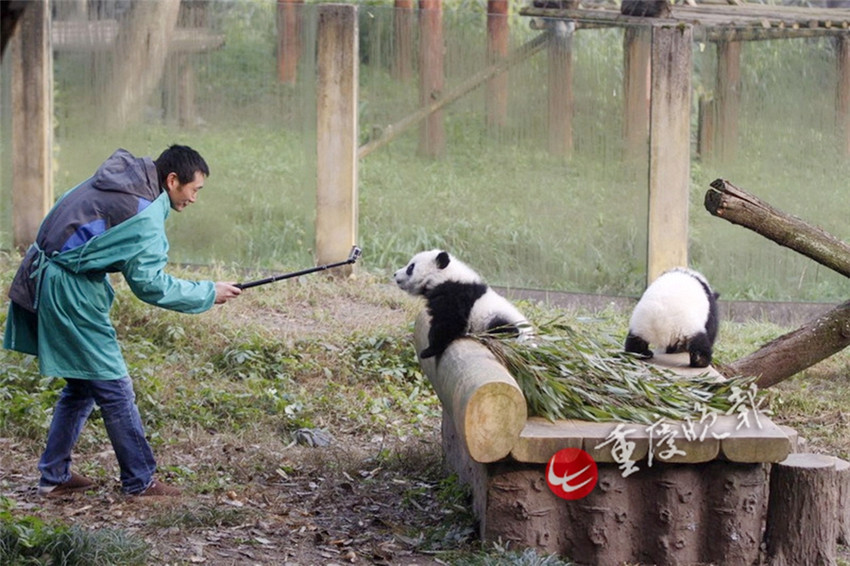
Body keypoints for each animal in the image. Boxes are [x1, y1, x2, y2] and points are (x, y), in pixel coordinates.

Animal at [393, 249, 532, 359]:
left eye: (410, 267)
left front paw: (428, 351)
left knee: (502, 329)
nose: (395, 274)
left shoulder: (456, 295)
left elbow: (450, 322)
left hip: (499, 321)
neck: (444, 276)